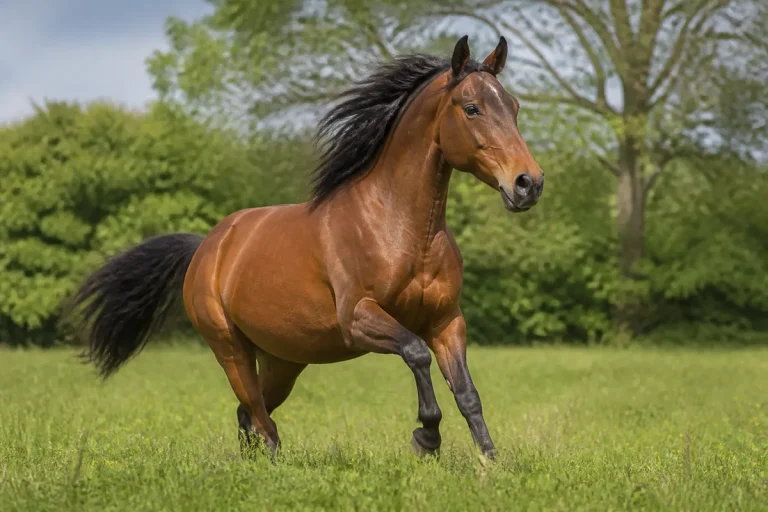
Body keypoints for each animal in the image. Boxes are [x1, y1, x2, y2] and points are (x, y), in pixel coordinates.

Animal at [65, 35, 544, 461]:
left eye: (514, 107)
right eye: (472, 108)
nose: (528, 184)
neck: (401, 228)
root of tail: (208, 247)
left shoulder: (446, 321)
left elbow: (467, 393)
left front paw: (489, 461)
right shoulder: (359, 319)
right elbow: (415, 353)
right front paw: (426, 439)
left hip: (285, 360)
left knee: (248, 414)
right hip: (230, 349)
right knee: (259, 416)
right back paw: (272, 463)